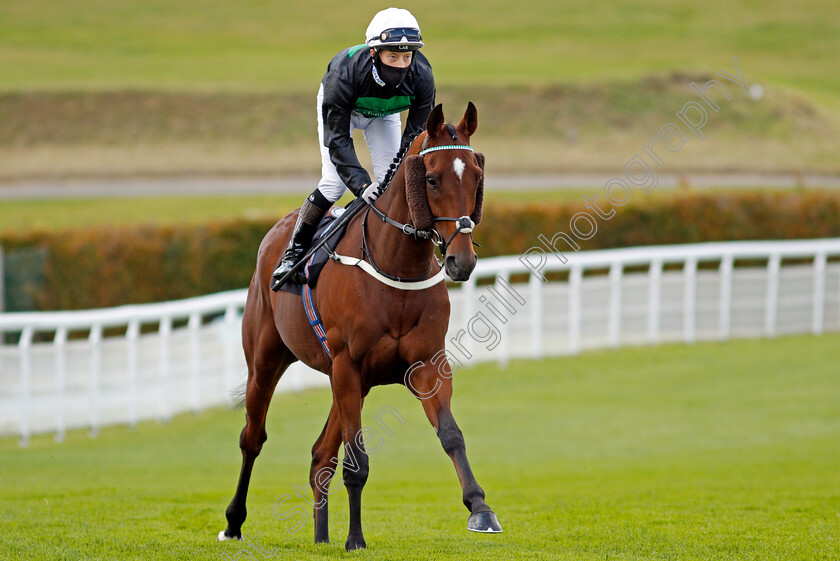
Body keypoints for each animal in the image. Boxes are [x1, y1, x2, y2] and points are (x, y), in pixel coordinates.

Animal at [220, 103, 502, 548]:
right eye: (432, 178)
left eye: (476, 176)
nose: (462, 261)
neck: (397, 266)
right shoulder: (347, 365)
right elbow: (357, 462)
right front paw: (355, 538)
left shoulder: (426, 365)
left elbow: (451, 435)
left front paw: (480, 509)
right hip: (267, 359)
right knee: (253, 437)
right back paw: (234, 522)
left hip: (352, 382)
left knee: (320, 454)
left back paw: (320, 537)